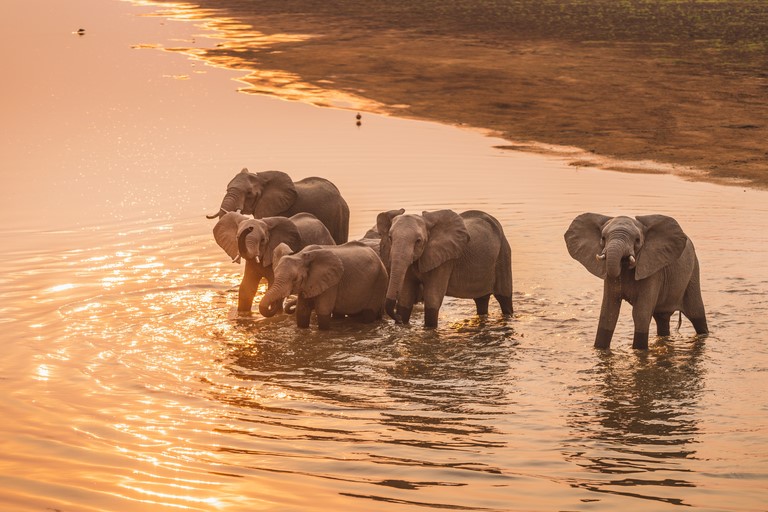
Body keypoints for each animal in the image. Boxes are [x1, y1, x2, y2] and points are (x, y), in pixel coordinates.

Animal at [260, 240, 390, 328]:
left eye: (295, 279)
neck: (301, 255)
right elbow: (302, 312)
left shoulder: (332, 284)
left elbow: (323, 311)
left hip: (380, 281)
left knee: (368, 314)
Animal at [380, 208, 516, 328]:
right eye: (390, 238)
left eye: (418, 241)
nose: (398, 319)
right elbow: (405, 299)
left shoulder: (445, 261)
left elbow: (433, 300)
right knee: (481, 300)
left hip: (503, 254)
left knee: (504, 299)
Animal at [564, 210, 708, 350]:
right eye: (603, 238)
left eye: (638, 240)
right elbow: (608, 313)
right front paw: (600, 349)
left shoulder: (652, 271)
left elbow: (640, 314)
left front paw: (639, 350)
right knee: (662, 318)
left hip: (693, 272)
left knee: (696, 314)